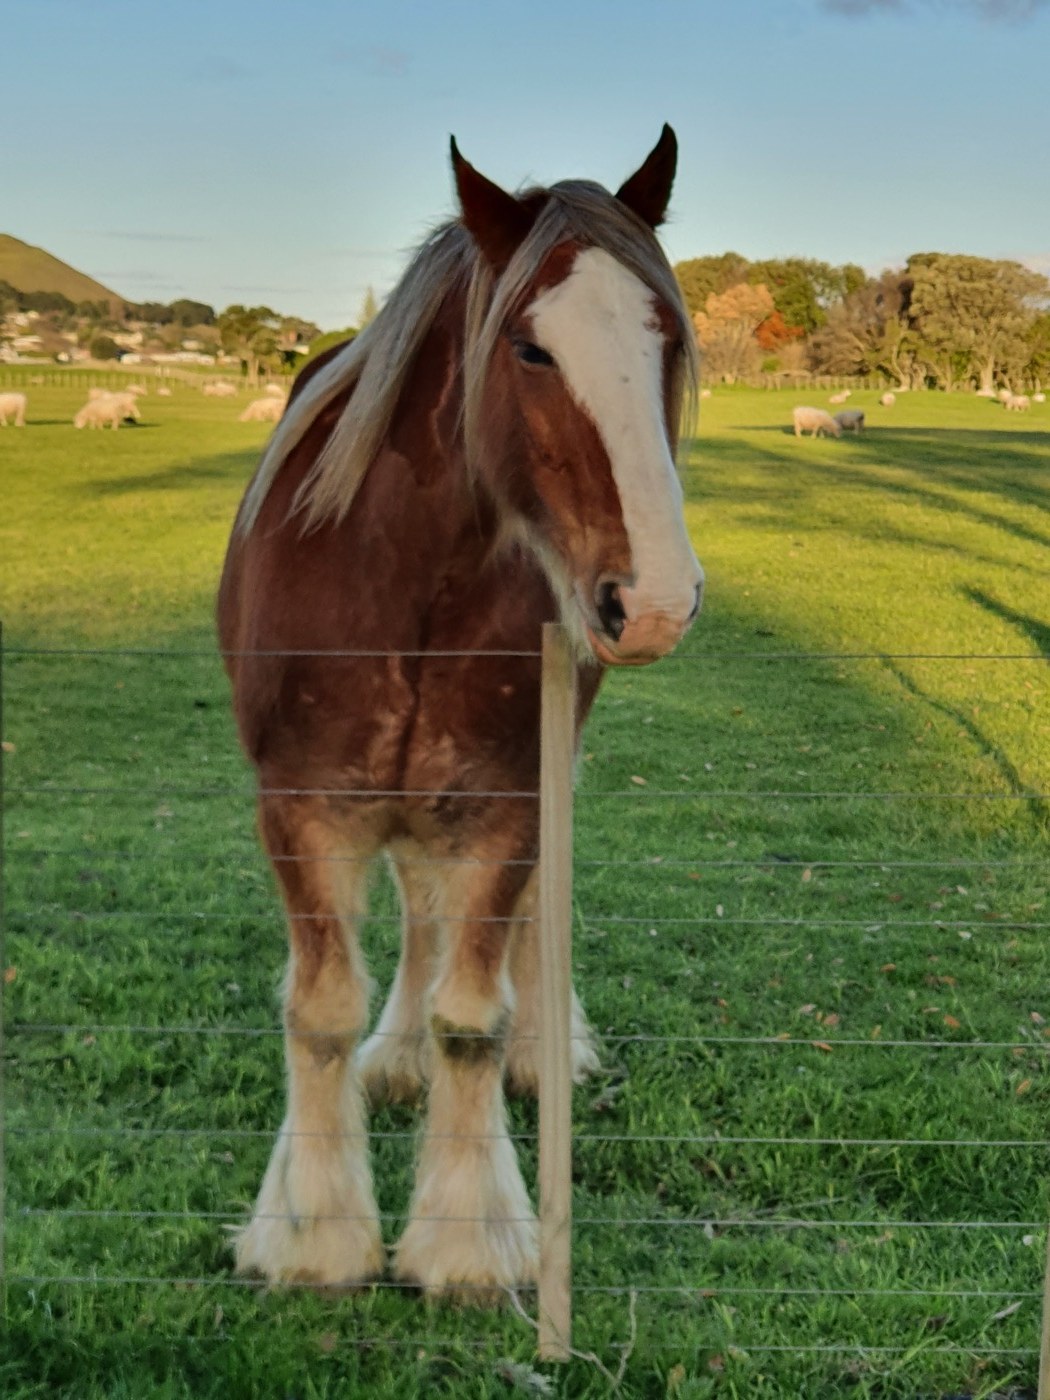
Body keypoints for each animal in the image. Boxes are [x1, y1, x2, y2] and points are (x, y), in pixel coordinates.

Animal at [217, 125, 703, 1301]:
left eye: (665, 337)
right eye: (529, 351)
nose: (654, 600)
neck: (407, 579)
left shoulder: (503, 803)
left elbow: (474, 1016)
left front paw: (468, 1236)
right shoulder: (301, 807)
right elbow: (321, 1009)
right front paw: (314, 1234)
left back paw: (539, 1052)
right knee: (415, 909)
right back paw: (394, 1061)